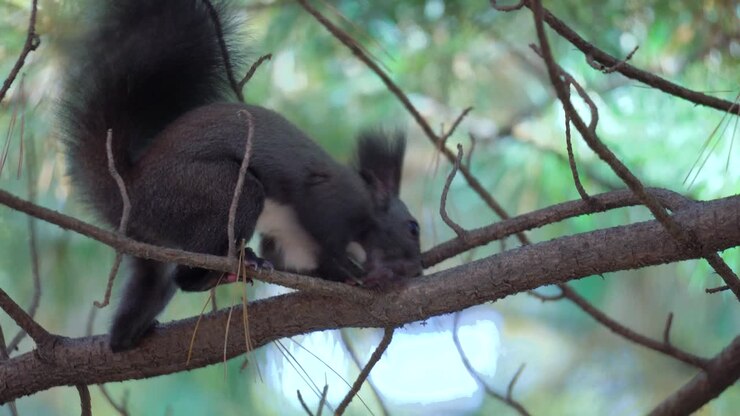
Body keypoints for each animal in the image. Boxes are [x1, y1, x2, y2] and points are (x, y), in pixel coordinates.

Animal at [60, 0, 422, 352]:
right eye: (413, 227)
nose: (418, 268)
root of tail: (130, 189)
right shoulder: (330, 199)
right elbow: (329, 244)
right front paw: (357, 273)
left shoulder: (293, 243)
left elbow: (299, 265)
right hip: (211, 192)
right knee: (184, 277)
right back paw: (227, 270)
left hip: (152, 245)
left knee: (148, 293)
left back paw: (128, 335)